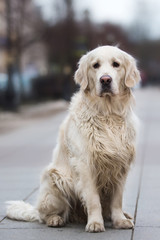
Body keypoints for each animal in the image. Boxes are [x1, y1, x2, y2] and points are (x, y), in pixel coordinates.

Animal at [6, 45, 140, 232]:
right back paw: (55, 219)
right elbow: (93, 199)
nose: (105, 80)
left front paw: (120, 220)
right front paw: (95, 223)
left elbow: (117, 199)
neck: (108, 113)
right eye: (95, 65)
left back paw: (123, 215)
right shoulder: (85, 164)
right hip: (54, 178)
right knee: (43, 215)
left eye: (116, 64)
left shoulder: (121, 164)